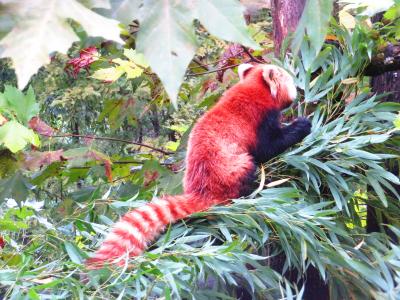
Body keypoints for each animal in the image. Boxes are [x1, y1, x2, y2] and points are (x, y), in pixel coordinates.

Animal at [86, 62, 312, 268]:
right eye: (290, 81)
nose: (299, 89)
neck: (253, 88)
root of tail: (200, 191)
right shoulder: (259, 121)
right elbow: (269, 147)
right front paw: (302, 125)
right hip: (234, 168)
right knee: (247, 170)